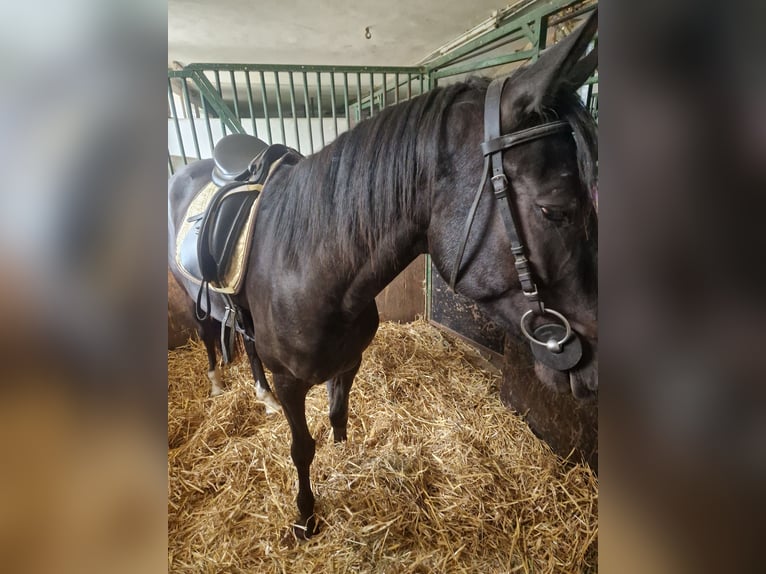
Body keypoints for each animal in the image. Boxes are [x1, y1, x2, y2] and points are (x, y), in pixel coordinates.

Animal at [168, 12, 600, 540]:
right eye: (554, 210)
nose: (595, 363)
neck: (314, 272)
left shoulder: (349, 361)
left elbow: (338, 416)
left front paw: (344, 461)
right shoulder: (292, 382)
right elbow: (301, 448)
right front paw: (306, 516)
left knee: (245, 343)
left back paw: (260, 396)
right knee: (210, 332)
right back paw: (216, 383)